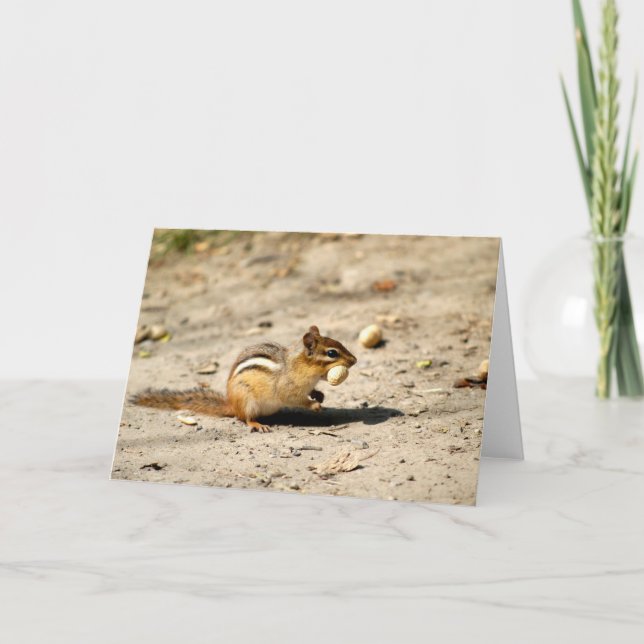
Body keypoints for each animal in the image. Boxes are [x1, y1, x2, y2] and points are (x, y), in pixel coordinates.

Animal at [131, 325, 357, 432]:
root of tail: (232, 404)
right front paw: (314, 405)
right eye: (332, 353)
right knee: (245, 418)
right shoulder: (289, 388)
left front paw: (319, 395)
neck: (300, 366)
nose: (354, 360)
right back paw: (257, 424)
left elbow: (312, 392)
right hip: (247, 400)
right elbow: (294, 399)